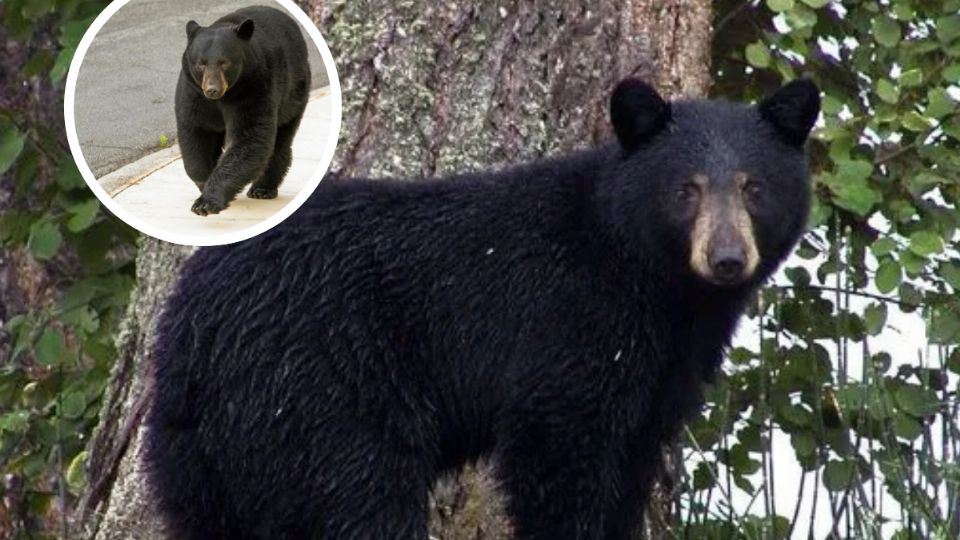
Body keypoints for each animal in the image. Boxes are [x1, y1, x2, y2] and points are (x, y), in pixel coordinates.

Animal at [172, 4, 308, 215]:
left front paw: (206, 202)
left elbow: (250, 138)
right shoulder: (193, 93)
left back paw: (263, 188)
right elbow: (196, 132)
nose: (212, 89)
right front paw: (204, 182)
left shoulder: (254, 87)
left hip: (293, 95)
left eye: (224, 62)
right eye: (201, 64)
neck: (224, 97)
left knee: (280, 139)